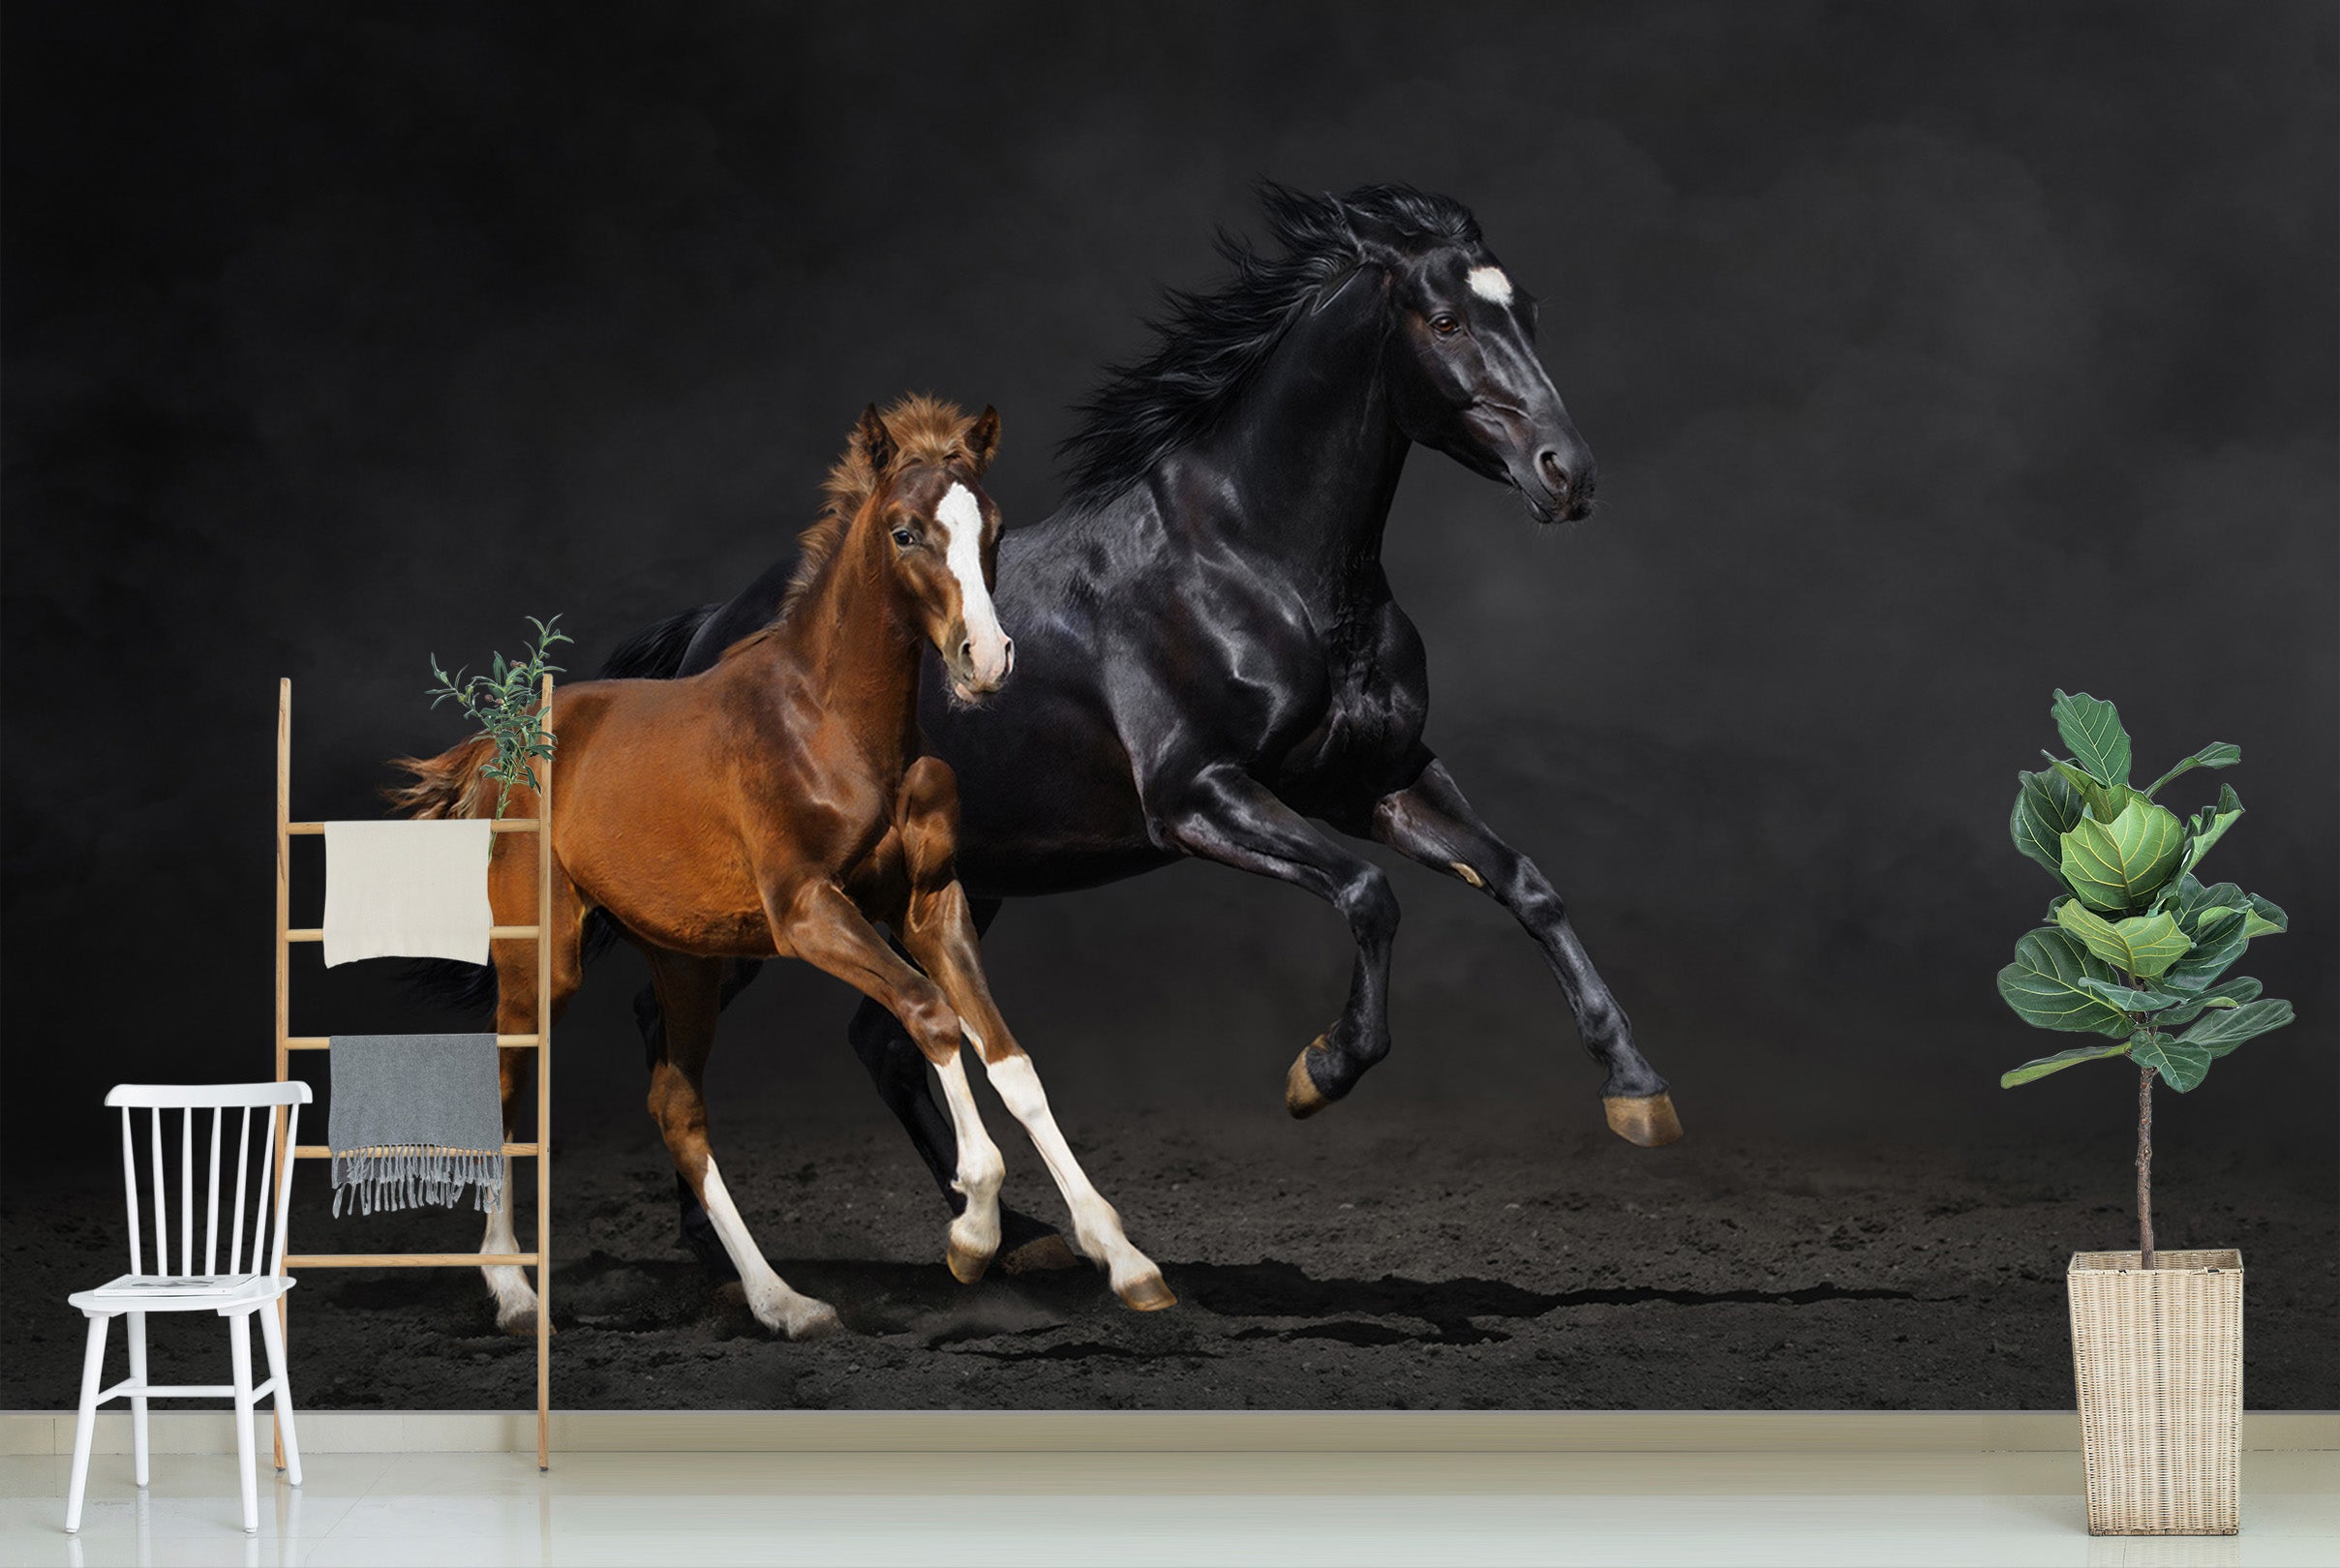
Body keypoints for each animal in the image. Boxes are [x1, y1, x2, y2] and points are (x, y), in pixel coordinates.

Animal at [391, 396, 1174, 1337]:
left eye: (991, 527)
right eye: (905, 532)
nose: (984, 660)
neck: (832, 723)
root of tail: (498, 746)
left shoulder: (930, 905)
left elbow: (1008, 1059)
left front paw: (1123, 1258)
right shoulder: (806, 911)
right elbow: (930, 1016)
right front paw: (973, 1231)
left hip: (684, 960)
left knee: (676, 1107)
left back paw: (783, 1301)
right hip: (541, 960)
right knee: (507, 1083)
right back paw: (512, 1291)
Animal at [615, 182, 1684, 1276]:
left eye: (1529, 313)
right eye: (1445, 322)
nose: (1567, 474)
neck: (1253, 563)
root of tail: (710, 631)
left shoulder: (1372, 780)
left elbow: (1525, 884)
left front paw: (1635, 1090)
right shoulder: (1197, 798)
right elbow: (1368, 894)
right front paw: (1320, 1071)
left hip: (963, 883)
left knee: (882, 1044)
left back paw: (1007, 1237)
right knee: (671, 1020)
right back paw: (712, 1241)